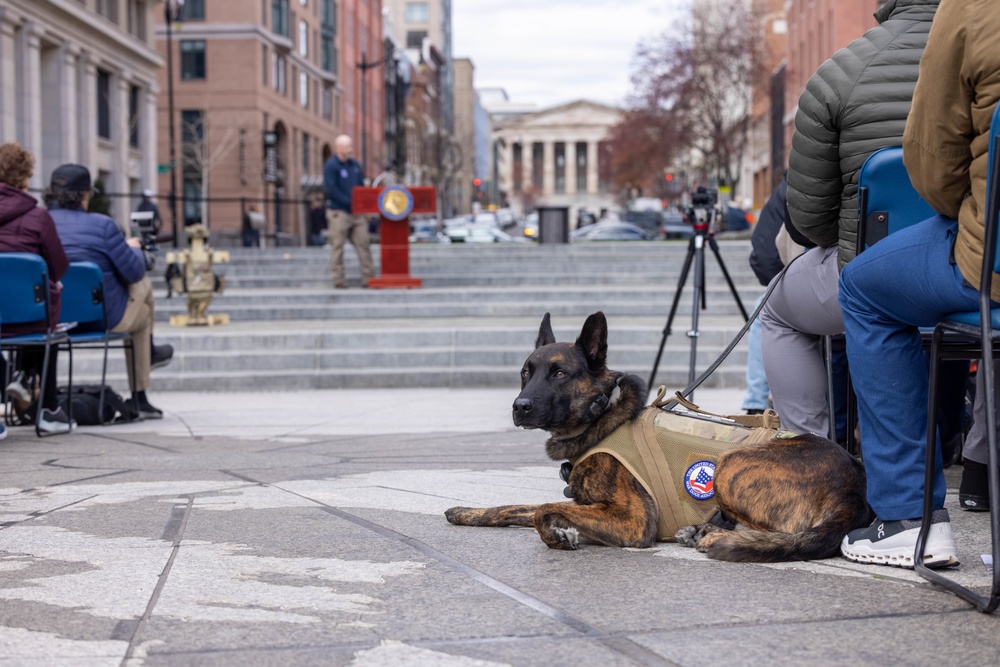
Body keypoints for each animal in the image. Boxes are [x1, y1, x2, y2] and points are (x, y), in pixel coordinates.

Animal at [442, 310, 872, 560]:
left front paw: (560, 535)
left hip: (730, 465)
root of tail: (856, 486)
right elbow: (514, 506)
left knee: (779, 534)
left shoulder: (631, 521)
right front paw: (468, 512)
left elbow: (542, 511)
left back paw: (712, 536)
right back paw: (703, 529)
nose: (520, 406)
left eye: (559, 373)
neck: (601, 417)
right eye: (525, 373)